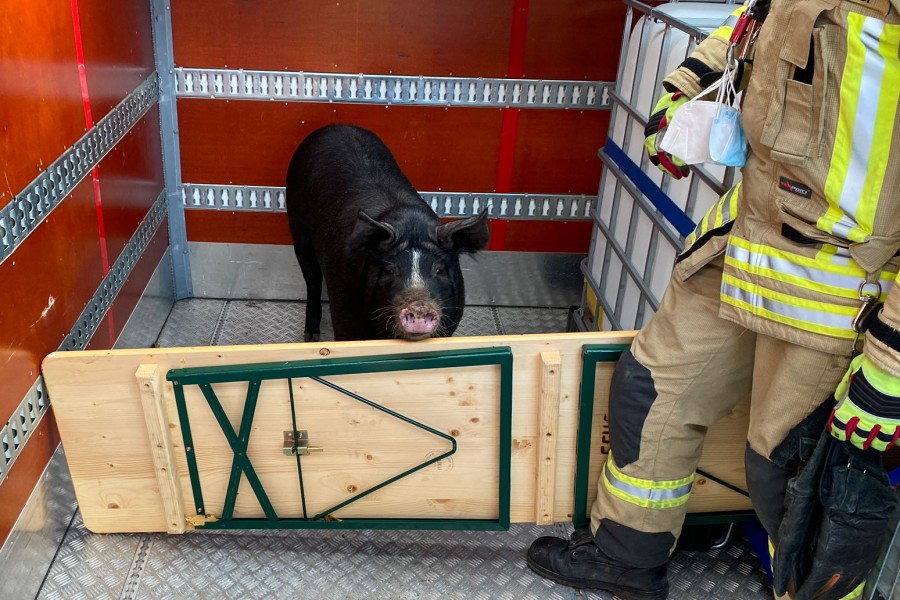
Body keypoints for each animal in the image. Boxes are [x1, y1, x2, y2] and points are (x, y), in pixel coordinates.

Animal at [284, 125, 488, 342]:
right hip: (298, 225)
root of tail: (336, 125)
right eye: (390, 270)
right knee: (312, 279)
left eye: (439, 270)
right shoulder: (343, 310)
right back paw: (310, 337)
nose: (419, 305)